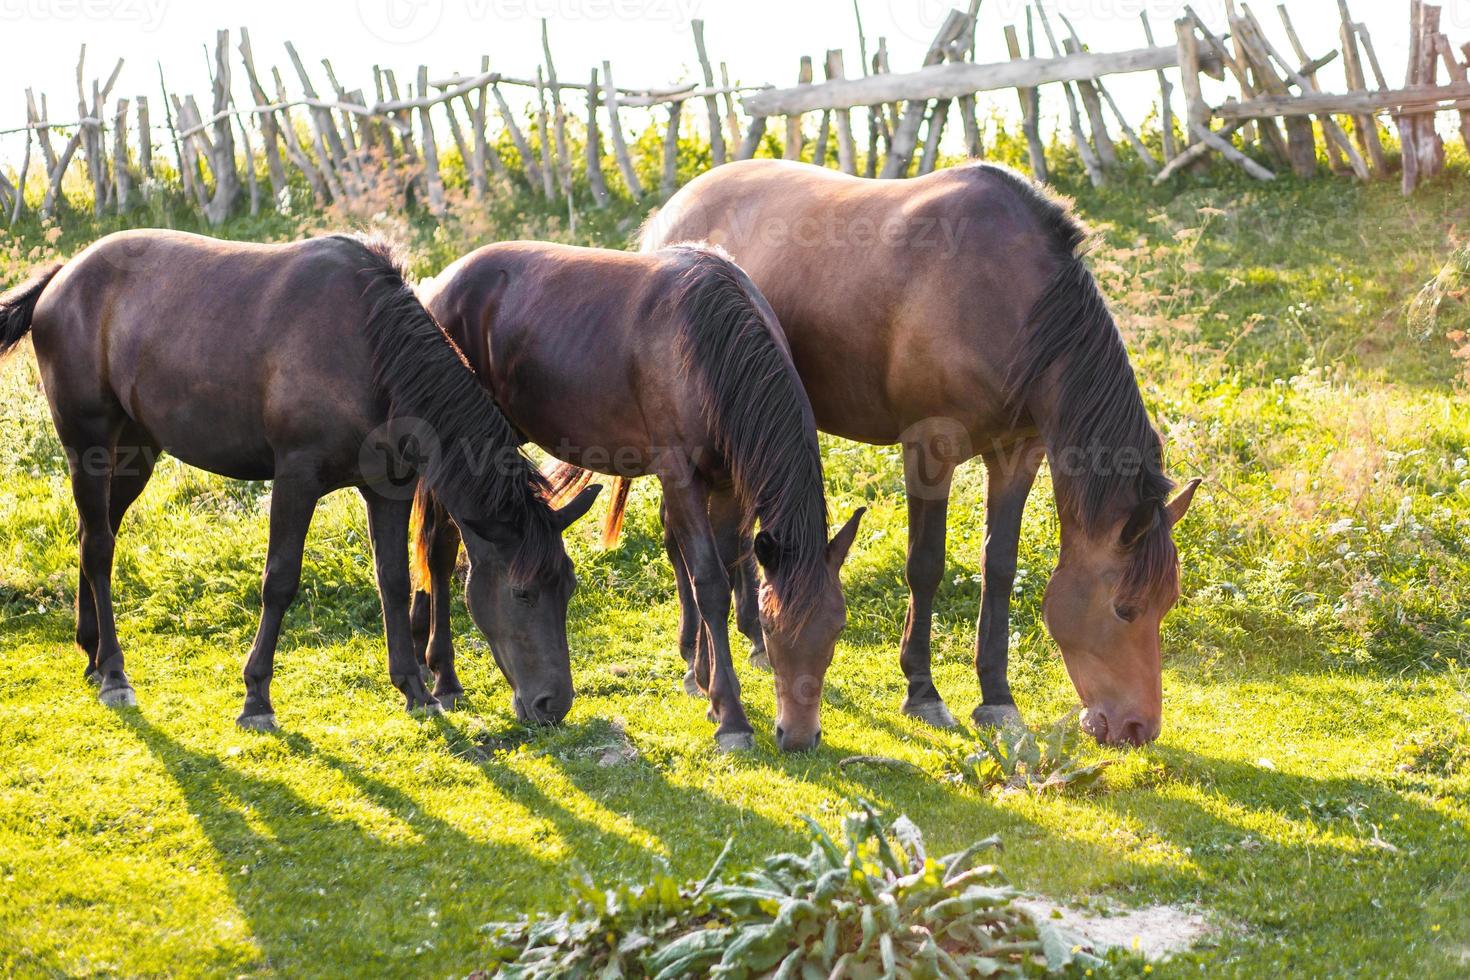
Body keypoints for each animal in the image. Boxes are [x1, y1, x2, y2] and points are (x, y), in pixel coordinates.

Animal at [0, 232, 599, 728]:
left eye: (566, 587)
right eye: (522, 593)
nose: (553, 705)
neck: (368, 350)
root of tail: (62, 277)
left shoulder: (388, 488)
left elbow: (394, 579)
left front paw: (414, 690)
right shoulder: (295, 478)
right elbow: (280, 580)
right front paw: (256, 699)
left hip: (134, 454)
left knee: (92, 534)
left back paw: (92, 653)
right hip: (89, 446)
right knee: (99, 546)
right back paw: (114, 672)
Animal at [408, 239, 864, 752]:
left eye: (838, 626)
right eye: (770, 627)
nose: (800, 736)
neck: (709, 345)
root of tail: (441, 284)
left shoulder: (726, 483)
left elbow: (725, 567)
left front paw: (706, 682)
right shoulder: (679, 475)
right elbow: (709, 581)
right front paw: (731, 715)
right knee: (440, 549)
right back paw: (443, 675)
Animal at [649, 160, 1199, 746]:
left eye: (1166, 604)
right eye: (1125, 608)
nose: (1138, 727)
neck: (1010, 303)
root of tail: (673, 211)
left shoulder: (1017, 454)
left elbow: (999, 567)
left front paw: (996, 697)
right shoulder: (930, 450)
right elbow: (925, 565)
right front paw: (923, 691)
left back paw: (754, 636)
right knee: (681, 536)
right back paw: (694, 660)